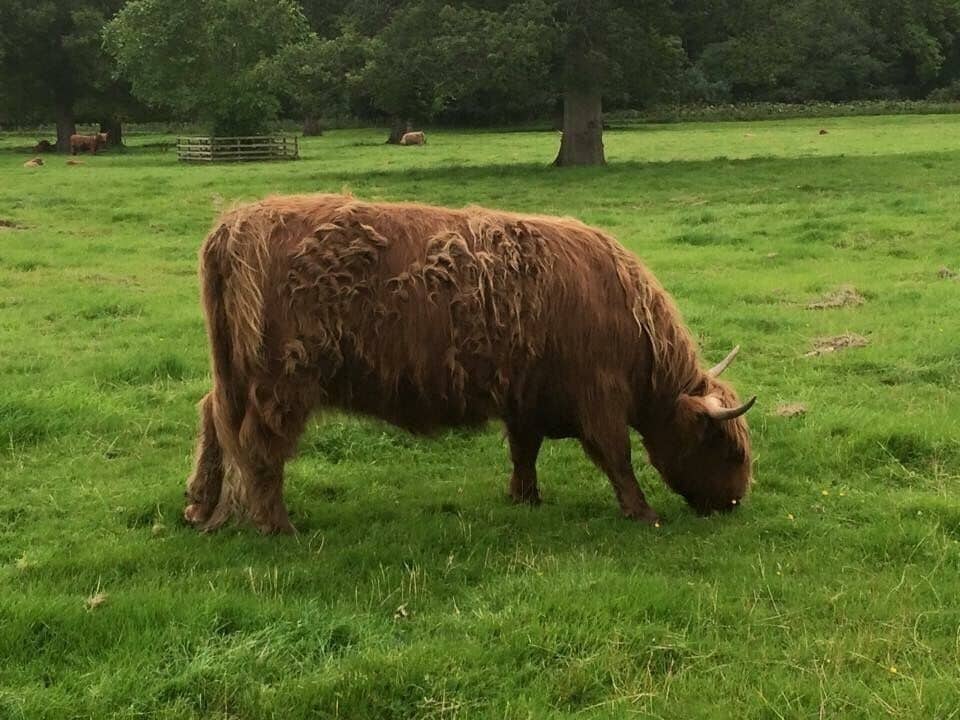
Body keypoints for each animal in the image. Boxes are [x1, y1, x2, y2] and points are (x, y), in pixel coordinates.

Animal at [183, 194, 756, 534]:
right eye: (729, 450)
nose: (734, 503)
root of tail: (235, 223)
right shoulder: (599, 396)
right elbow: (617, 457)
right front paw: (643, 513)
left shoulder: (527, 396)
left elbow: (525, 452)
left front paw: (525, 498)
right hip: (280, 381)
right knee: (259, 446)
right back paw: (276, 525)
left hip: (233, 374)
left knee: (212, 418)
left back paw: (198, 506)